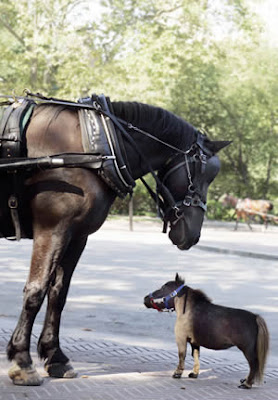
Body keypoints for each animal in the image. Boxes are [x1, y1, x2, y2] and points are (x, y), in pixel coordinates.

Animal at [1, 95, 229, 386]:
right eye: (201, 174)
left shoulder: (76, 236)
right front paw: (22, 359)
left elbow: (58, 294)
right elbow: (36, 291)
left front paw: (55, 356)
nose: (193, 233)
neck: (94, 148)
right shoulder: (52, 230)